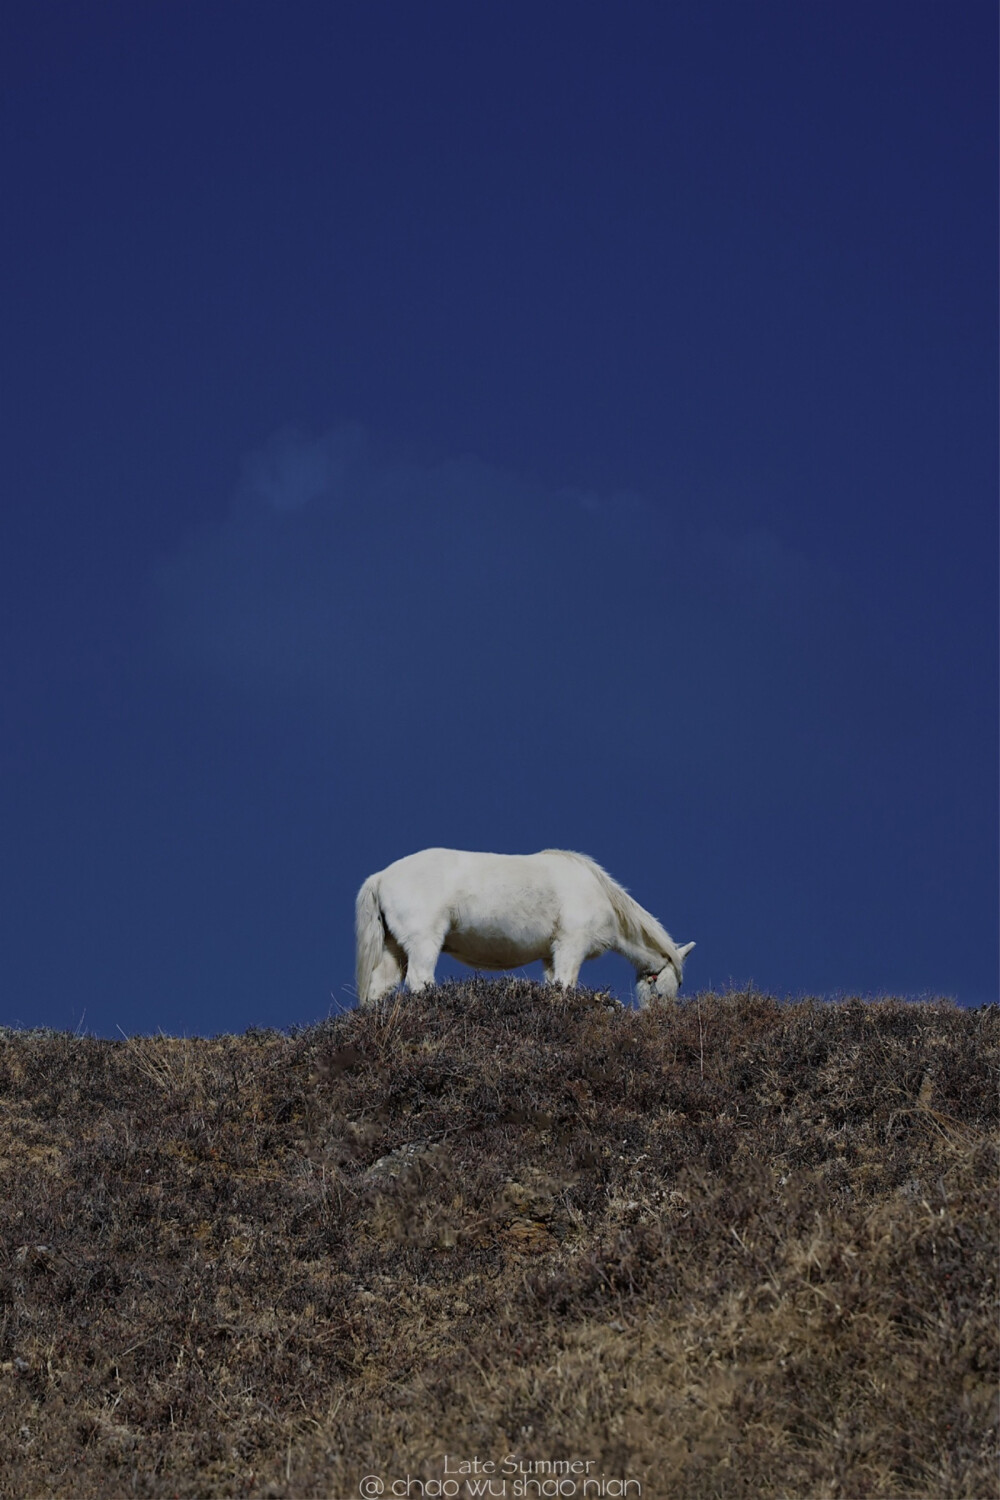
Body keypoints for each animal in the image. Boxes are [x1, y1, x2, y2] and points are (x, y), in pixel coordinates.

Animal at [353, 858, 695, 1008]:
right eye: (669, 985)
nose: (656, 1020)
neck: (599, 893)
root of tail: (380, 877)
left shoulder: (551, 955)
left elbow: (555, 983)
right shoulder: (572, 945)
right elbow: (567, 983)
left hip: (395, 949)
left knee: (378, 987)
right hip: (424, 941)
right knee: (419, 980)